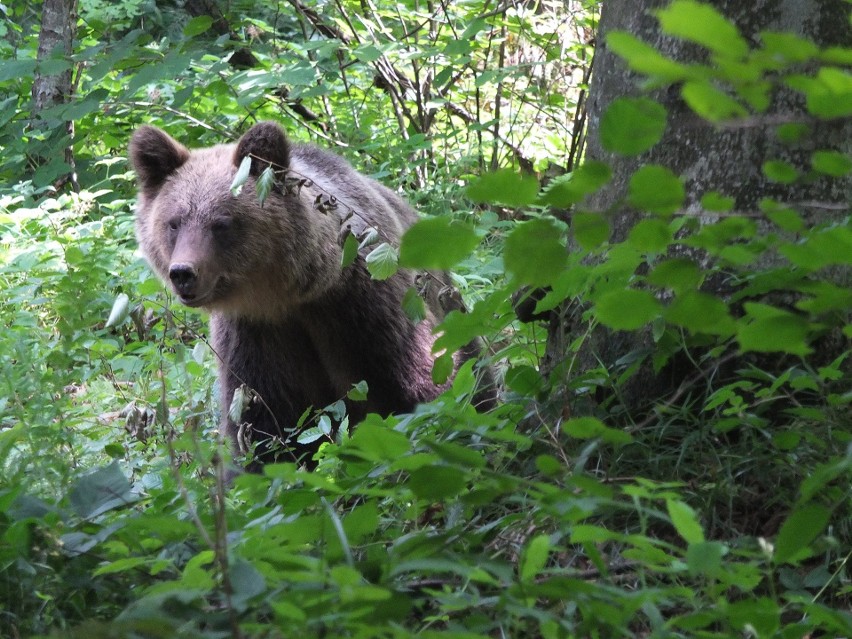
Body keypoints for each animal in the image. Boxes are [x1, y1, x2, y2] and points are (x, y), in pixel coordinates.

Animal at [131, 121, 496, 470]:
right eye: (174, 222)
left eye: (221, 223)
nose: (183, 273)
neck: (296, 294)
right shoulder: (257, 334)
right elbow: (269, 426)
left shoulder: (365, 306)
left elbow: (419, 382)